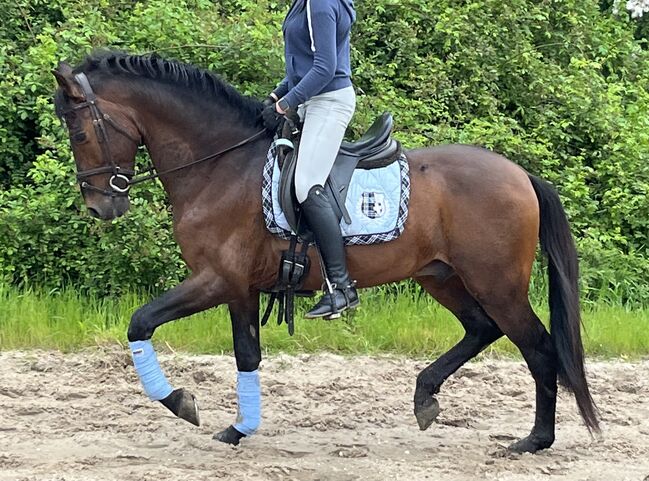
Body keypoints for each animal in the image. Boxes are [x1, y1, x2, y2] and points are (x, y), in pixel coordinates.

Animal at [54, 52, 596, 454]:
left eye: (79, 132)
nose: (100, 206)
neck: (220, 167)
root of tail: (520, 173)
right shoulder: (240, 288)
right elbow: (246, 354)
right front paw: (239, 429)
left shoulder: (215, 279)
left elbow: (140, 322)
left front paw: (181, 402)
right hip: (441, 276)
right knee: (481, 329)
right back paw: (425, 397)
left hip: (496, 283)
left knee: (538, 347)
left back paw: (534, 440)